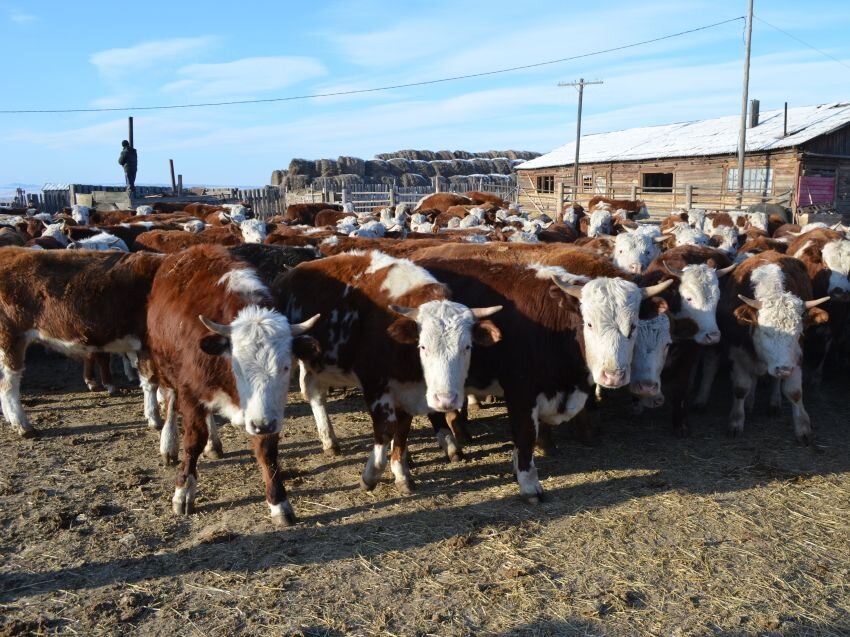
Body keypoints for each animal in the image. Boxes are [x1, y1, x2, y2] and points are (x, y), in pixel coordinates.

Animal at [0, 246, 165, 434]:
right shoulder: (147, 344)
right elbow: (151, 381)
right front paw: (154, 418)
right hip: (11, 339)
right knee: (8, 383)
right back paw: (22, 425)